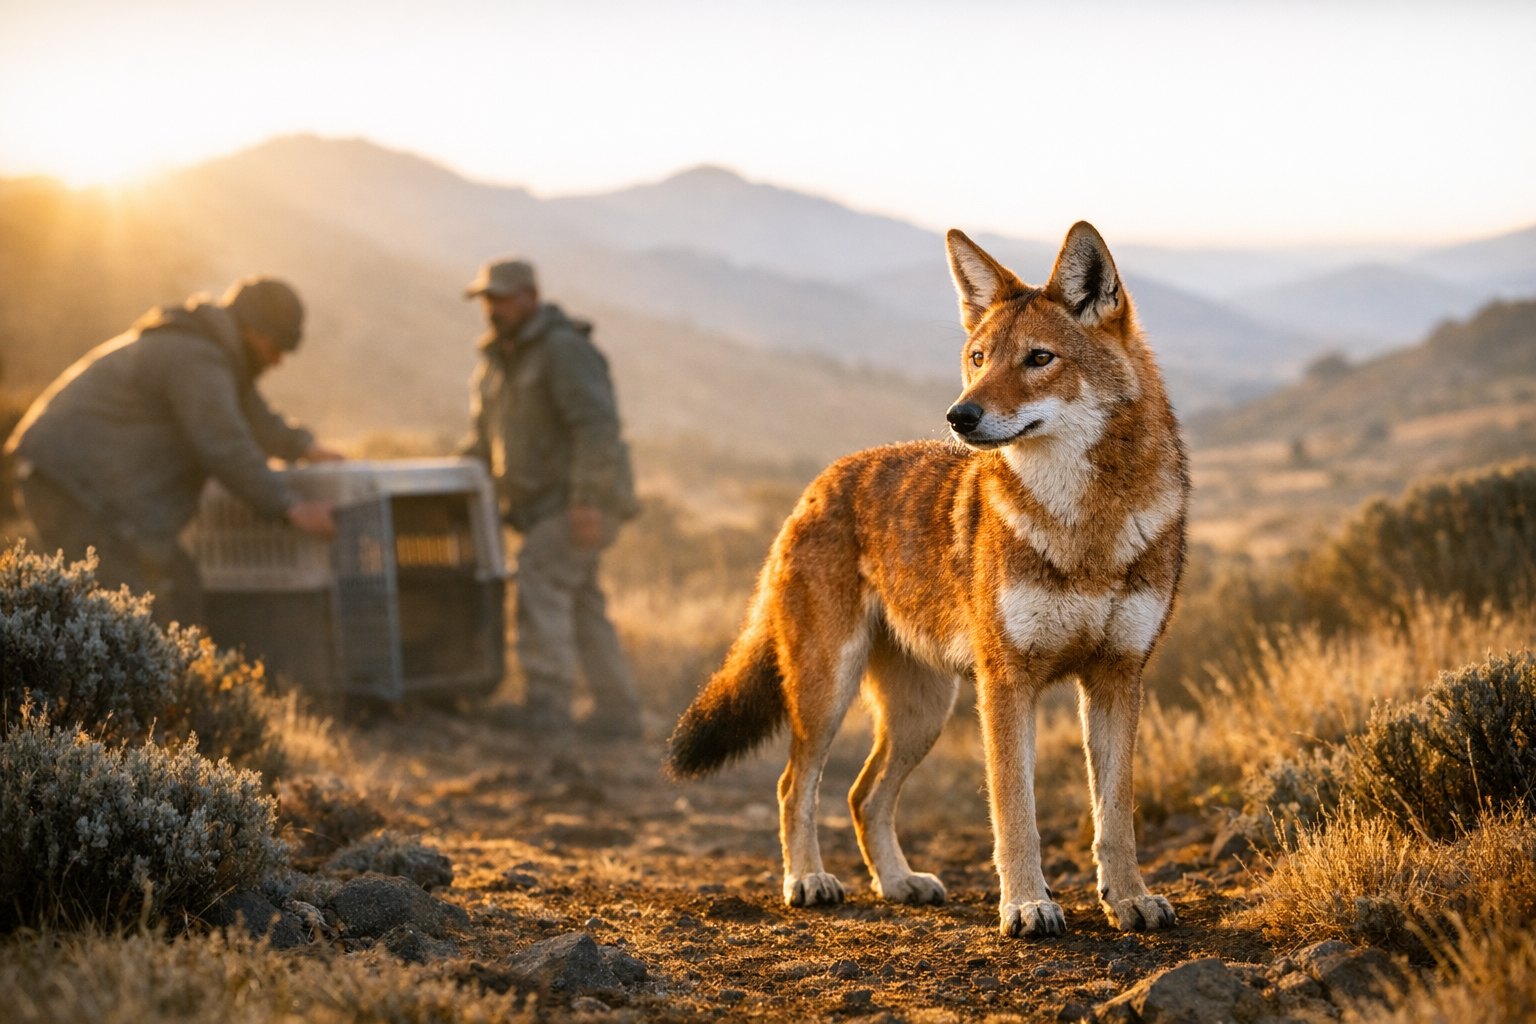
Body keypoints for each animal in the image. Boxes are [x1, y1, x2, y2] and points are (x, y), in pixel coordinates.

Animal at [666, 223, 1188, 937]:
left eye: (1039, 358)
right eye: (978, 357)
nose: (959, 416)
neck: (1084, 525)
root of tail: (817, 484)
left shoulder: (1117, 677)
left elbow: (1115, 815)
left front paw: (1131, 898)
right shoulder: (1007, 683)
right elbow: (1016, 814)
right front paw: (1027, 905)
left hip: (923, 714)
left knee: (862, 795)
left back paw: (897, 883)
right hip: (830, 691)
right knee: (795, 785)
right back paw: (807, 881)